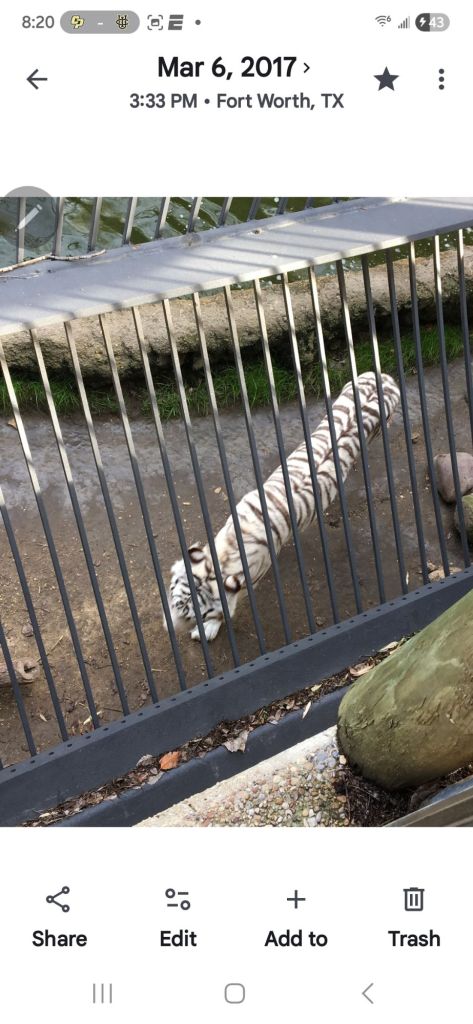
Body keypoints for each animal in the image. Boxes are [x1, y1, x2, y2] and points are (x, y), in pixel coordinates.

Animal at [167, 371, 400, 642]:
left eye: (193, 616)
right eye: (175, 601)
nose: (170, 629)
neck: (227, 554)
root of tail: (384, 376)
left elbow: (224, 612)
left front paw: (209, 628)